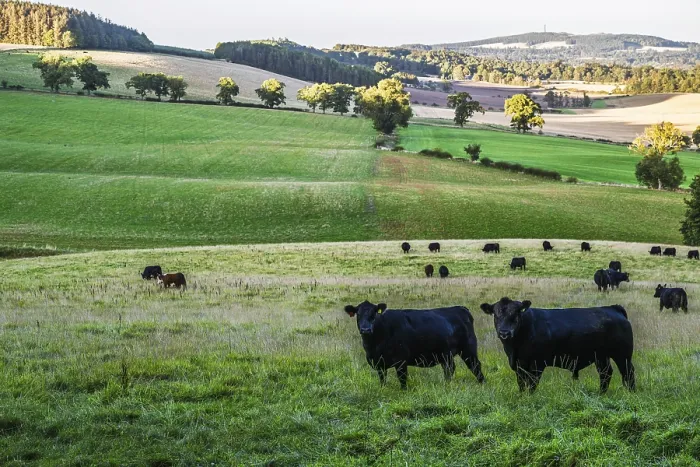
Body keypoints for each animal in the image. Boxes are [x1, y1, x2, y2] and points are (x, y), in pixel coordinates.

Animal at [344, 301, 484, 389]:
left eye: (374, 314)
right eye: (358, 314)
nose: (365, 329)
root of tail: (460, 308)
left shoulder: (401, 361)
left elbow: (402, 379)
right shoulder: (379, 363)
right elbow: (382, 379)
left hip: (468, 349)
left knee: (475, 366)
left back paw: (482, 383)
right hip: (446, 355)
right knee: (449, 369)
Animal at [480, 297, 635, 393]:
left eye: (516, 314)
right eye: (496, 315)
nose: (504, 332)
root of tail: (613, 308)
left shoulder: (536, 365)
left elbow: (531, 385)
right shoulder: (519, 365)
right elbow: (522, 384)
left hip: (623, 355)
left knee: (628, 373)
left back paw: (630, 393)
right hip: (601, 356)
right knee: (605, 373)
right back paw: (601, 393)